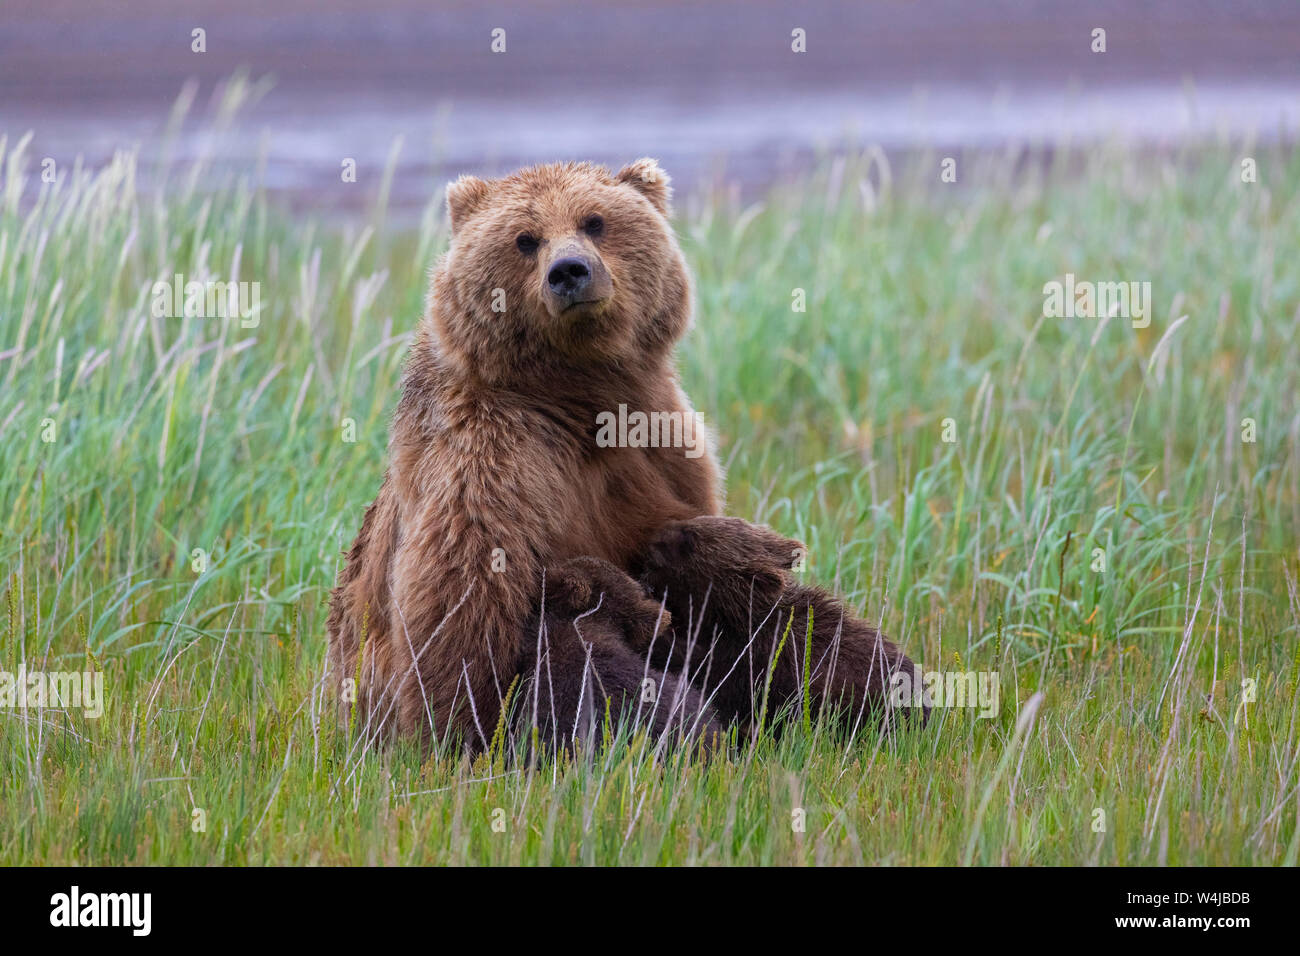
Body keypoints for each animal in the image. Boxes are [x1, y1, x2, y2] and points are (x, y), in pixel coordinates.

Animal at [325, 158, 722, 749]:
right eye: (525, 239)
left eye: (594, 220)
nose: (569, 271)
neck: (577, 397)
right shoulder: (489, 458)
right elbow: (464, 594)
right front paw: (460, 732)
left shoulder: (661, 441)